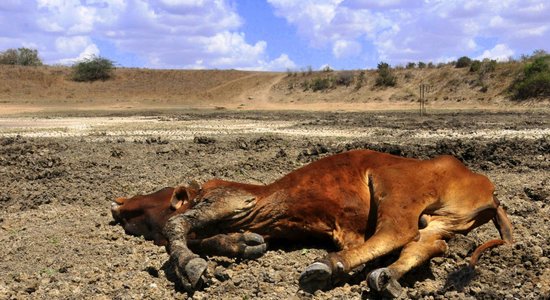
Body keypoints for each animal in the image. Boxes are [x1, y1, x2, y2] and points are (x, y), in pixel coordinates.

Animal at [111, 150, 512, 298]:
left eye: (140, 211)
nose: (117, 205)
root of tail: (489, 189)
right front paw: (244, 244)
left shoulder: (233, 201)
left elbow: (177, 226)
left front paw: (192, 268)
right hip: (445, 221)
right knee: (427, 243)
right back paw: (385, 276)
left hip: (394, 187)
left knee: (398, 231)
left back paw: (329, 267)